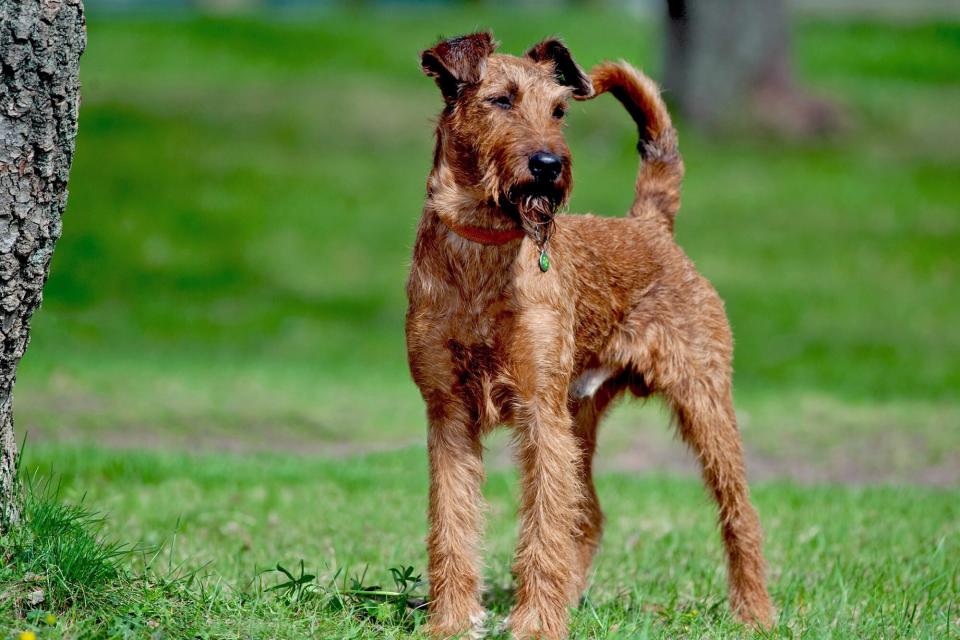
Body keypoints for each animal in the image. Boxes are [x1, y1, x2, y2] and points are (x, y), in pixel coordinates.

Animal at [404, 32, 772, 636]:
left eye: (559, 111)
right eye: (501, 100)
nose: (549, 164)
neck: (482, 249)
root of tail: (650, 225)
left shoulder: (539, 411)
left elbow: (542, 525)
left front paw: (534, 625)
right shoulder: (448, 413)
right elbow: (453, 525)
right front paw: (454, 621)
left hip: (704, 401)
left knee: (740, 512)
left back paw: (756, 612)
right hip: (583, 413)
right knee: (590, 514)